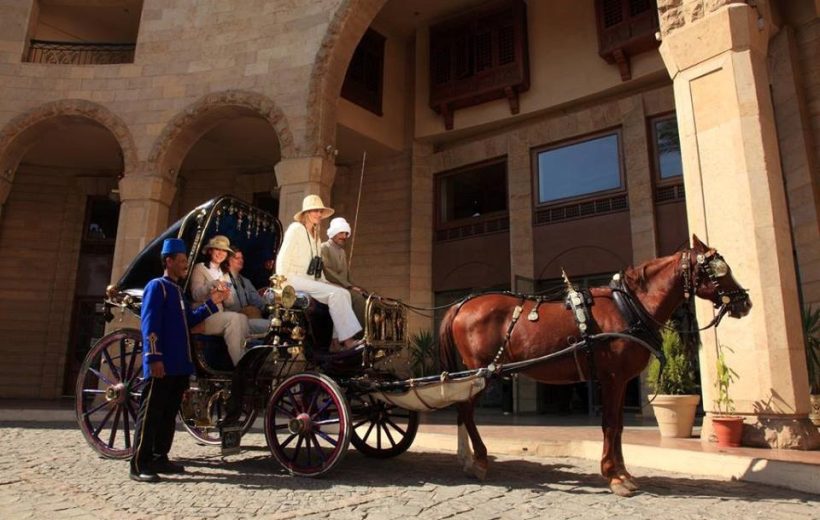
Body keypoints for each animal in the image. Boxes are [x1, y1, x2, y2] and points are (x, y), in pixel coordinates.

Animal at [438, 235, 752, 496]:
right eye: (718, 269)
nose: (745, 302)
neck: (629, 307)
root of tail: (461, 305)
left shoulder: (621, 381)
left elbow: (620, 425)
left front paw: (624, 473)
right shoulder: (612, 378)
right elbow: (610, 424)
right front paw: (614, 476)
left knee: (463, 412)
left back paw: (467, 457)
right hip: (480, 373)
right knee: (465, 410)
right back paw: (478, 460)